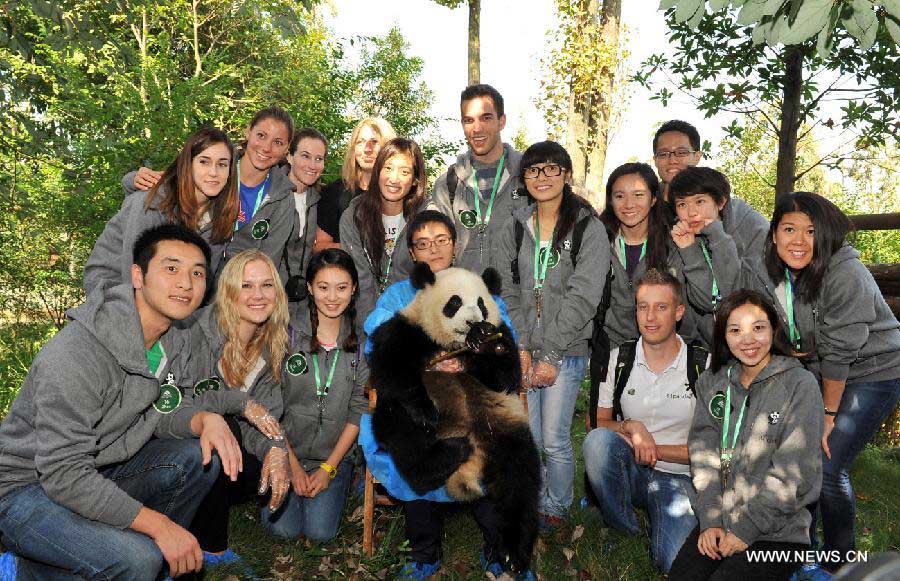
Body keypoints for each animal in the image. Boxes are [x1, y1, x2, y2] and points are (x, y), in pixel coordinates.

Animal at [368, 266, 536, 572]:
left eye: (482, 304)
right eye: (454, 303)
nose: (472, 322)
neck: (454, 345)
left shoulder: (501, 339)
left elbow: (505, 374)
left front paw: (481, 336)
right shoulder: (410, 330)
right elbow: (391, 367)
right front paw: (425, 410)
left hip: (503, 426)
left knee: (519, 480)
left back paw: (511, 552)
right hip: (401, 417)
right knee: (403, 434)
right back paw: (447, 453)